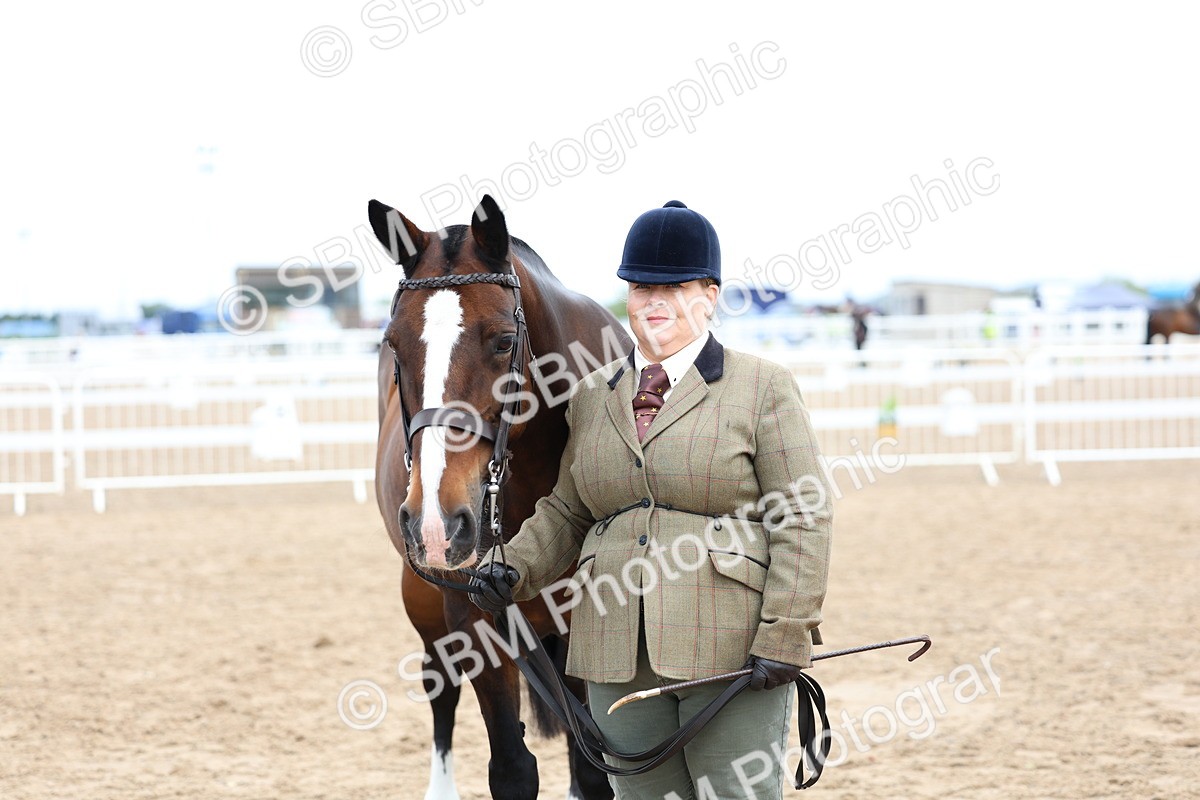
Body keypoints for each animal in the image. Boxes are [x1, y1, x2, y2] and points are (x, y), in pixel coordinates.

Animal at [368, 194, 632, 800]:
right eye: (394, 345)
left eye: (504, 342)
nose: (436, 523)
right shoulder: (473, 612)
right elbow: (511, 768)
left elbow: (594, 766)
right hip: (423, 596)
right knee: (441, 688)